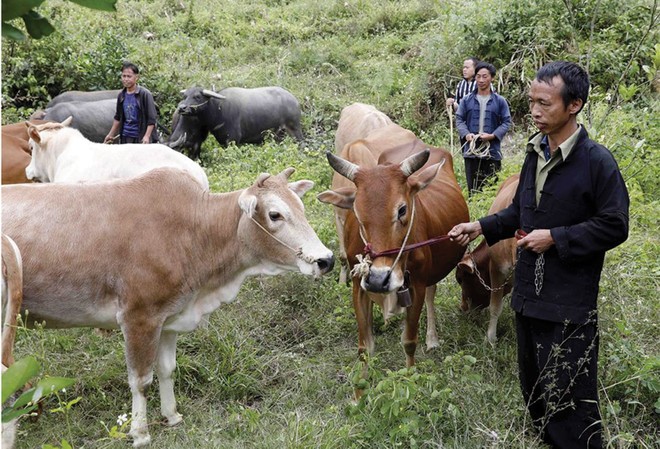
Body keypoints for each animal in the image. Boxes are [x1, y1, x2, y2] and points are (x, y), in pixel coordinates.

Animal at [2, 167, 336, 444]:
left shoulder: (170, 317)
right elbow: (141, 380)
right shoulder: (139, 318)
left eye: (302, 208)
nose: (326, 259)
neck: (195, 232)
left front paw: (172, 415)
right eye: (275, 214)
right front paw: (140, 433)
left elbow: (166, 369)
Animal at [169, 86, 306, 158]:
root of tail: (294, 100)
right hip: (278, 136)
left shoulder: (233, 141)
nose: (182, 108)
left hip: (295, 130)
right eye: (185, 96)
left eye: (197, 96)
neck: (218, 110)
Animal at [320, 102, 470, 396]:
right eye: (357, 211)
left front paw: (410, 378)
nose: (379, 279)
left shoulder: (418, 284)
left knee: (432, 296)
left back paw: (432, 338)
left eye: (402, 209)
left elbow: (409, 340)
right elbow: (364, 347)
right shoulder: (359, 286)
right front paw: (359, 392)